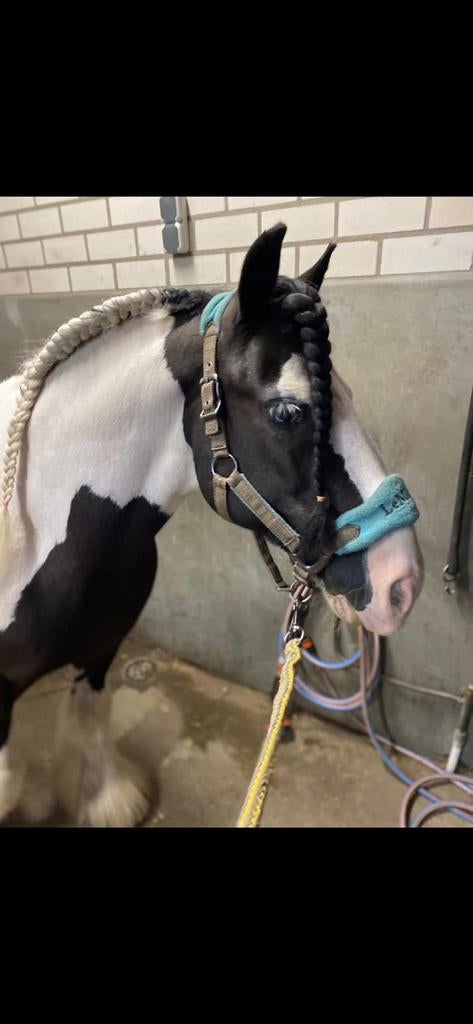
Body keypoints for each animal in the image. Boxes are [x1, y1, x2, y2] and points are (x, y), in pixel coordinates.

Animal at [0, 222, 424, 827]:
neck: (36, 530)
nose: (402, 582)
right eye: (287, 412)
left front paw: (106, 798)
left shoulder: (102, 647)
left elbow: (90, 716)